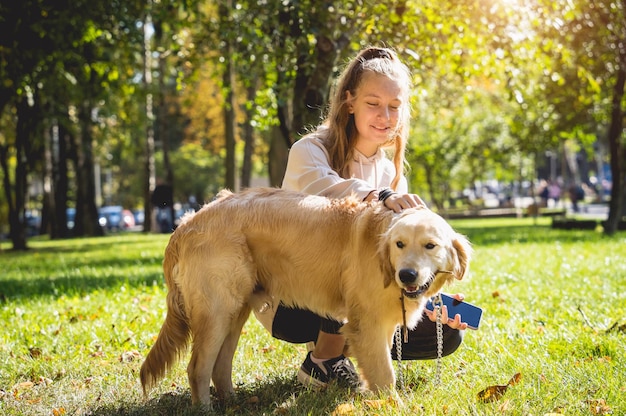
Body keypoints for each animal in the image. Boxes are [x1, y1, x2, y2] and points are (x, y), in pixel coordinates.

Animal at [139, 187, 470, 408]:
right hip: (217, 311)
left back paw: (233, 401)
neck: (381, 252)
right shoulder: (367, 324)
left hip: (234, 312)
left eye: (430, 245)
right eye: (399, 244)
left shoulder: (382, 327)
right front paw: (391, 404)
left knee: (220, 365)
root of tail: (186, 223)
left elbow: (380, 367)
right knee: (197, 368)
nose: (407, 275)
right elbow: (385, 373)